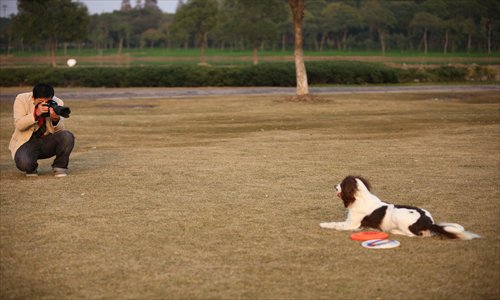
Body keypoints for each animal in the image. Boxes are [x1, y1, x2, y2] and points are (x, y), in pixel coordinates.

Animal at [320, 176, 480, 239]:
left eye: (341, 184)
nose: (333, 186)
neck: (360, 197)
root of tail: (428, 221)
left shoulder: (352, 224)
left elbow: (335, 225)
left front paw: (324, 224)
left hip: (399, 216)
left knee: (416, 234)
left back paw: (395, 231)